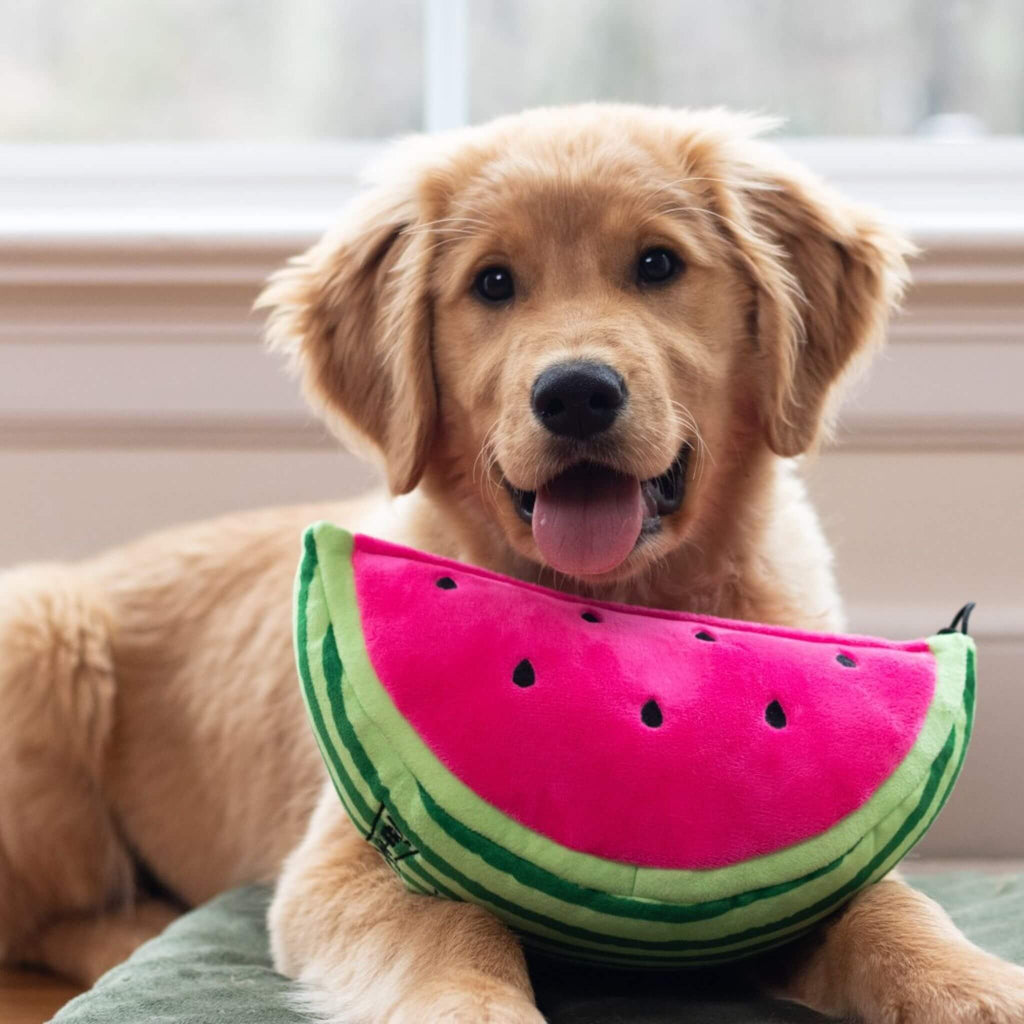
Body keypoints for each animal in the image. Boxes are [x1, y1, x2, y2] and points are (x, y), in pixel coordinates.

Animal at [2, 105, 1024, 1024]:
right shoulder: (348, 858)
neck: (626, 608)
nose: (575, 393)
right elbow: (456, 931)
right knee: (48, 921)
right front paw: (474, 1006)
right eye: (493, 284)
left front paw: (973, 987)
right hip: (44, 632)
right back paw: (136, 934)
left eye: (658, 265)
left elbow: (890, 904)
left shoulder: (812, 850)